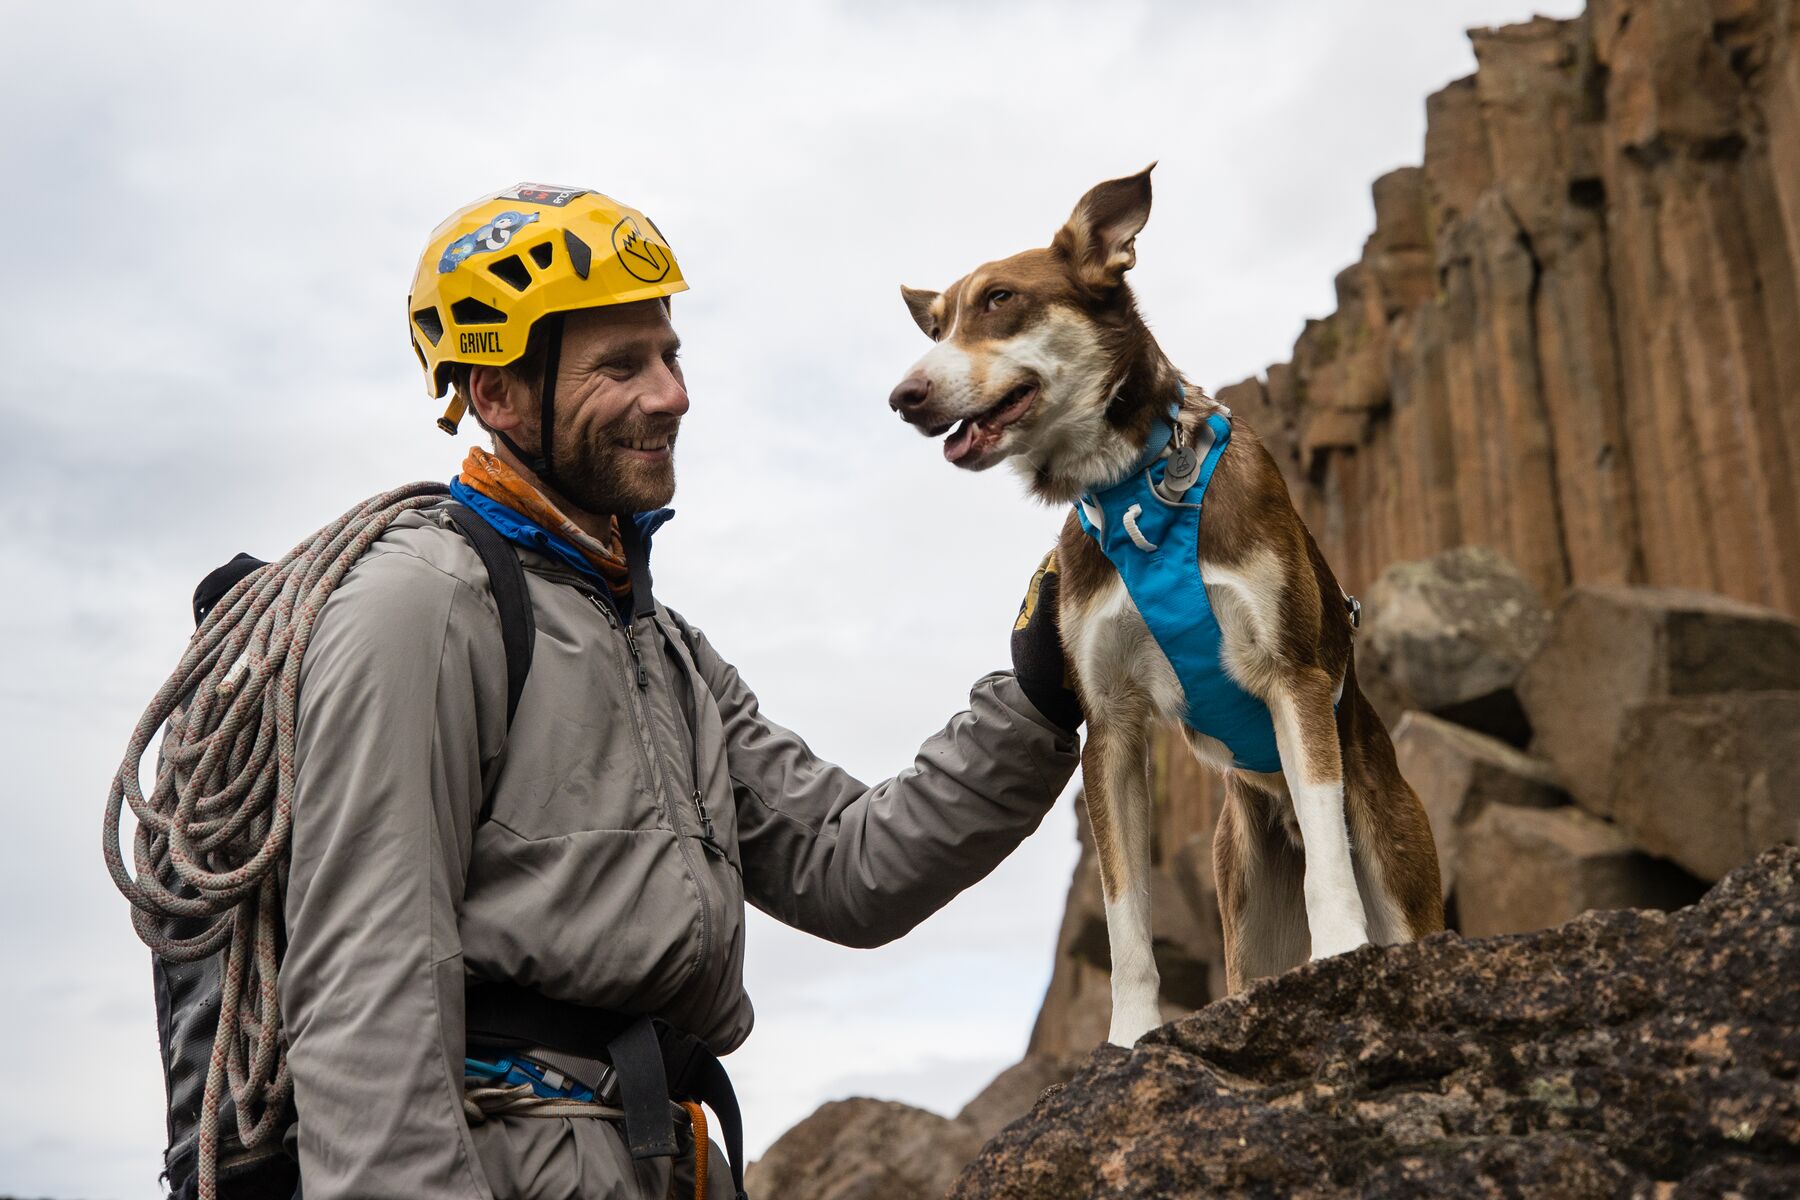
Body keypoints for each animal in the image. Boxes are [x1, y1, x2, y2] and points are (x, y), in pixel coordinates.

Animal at [889, 164, 1447, 1043]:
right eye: (936, 324)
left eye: (1002, 299)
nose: (903, 395)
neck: (1133, 488)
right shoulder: (1111, 729)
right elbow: (1125, 917)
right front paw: (1128, 1036)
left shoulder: (1293, 678)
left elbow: (1329, 869)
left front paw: (1341, 956)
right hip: (1246, 908)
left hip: (1396, 857)